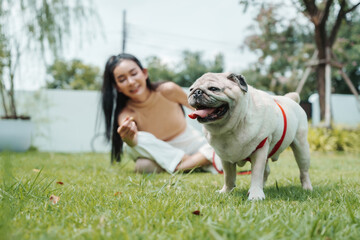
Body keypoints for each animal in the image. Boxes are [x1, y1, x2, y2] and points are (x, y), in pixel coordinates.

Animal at [188, 73, 312, 201]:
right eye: (191, 89)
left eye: (213, 88)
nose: (197, 92)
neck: (231, 128)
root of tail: (290, 99)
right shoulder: (225, 157)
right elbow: (229, 177)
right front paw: (226, 191)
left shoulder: (260, 150)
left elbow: (256, 174)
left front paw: (256, 194)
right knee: (266, 171)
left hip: (301, 148)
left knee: (303, 171)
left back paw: (307, 187)